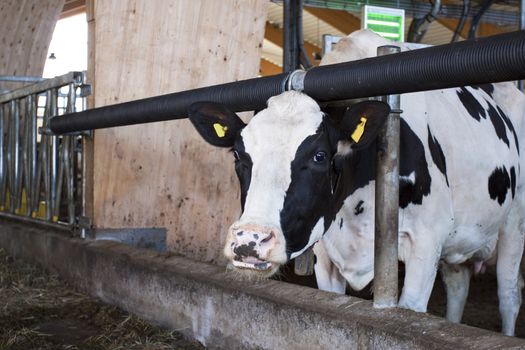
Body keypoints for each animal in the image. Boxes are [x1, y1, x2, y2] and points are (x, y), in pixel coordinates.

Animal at [188, 28, 524, 334]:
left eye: (320, 156)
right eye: (238, 156)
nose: (249, 240)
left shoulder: (426, 241)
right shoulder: (326, 253)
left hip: (515, 224)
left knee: (509, 295)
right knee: (458, 283)